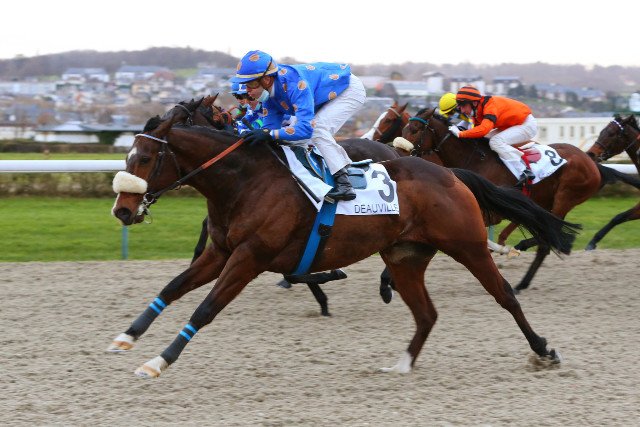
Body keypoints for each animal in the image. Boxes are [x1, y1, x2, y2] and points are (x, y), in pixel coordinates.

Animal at [107, 112, 577, 378]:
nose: (123, 210)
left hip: (467, 245)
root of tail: (451, 174)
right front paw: (126, 338)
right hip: (405, 256)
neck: (245, 182)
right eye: (129, 157)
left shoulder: (249, 256)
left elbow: (205, 309)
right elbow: (171, 288)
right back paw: (402, 364)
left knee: (505, 297)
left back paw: (544, 351)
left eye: (144, 159)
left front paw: (158, 362)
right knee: (426, 313)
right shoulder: (221, 252)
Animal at [395, 108, 612, 292]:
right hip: (544, 200)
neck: (476, 160)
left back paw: (522, 275)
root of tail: (591, 161)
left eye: (415, 130)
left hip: (565, 197)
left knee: (548, 237)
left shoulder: (487, 212)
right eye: (404, 128)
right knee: (542, 227)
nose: (399, 154)